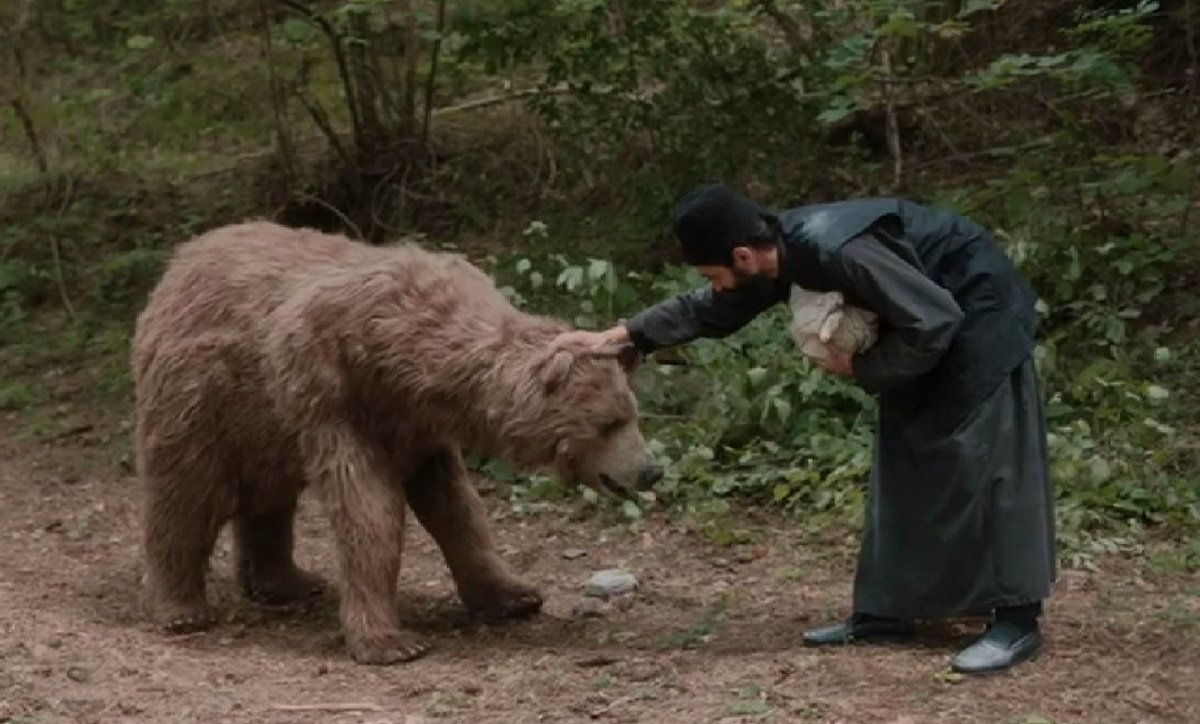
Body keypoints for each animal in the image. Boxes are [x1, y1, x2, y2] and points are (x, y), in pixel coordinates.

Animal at [133, 219, 667, 662]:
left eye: (631, 414)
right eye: (609, 423)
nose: (650, 470)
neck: (409, 363)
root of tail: (179, 261)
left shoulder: (418, 432)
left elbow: (456, 509)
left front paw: (515, 595)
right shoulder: (338, 403)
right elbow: (369, 510)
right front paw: (392, 641)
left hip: (266, 426)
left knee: (268, 496)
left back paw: (286, 581)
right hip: (206, 397)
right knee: (188, 492)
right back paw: (182, 608)